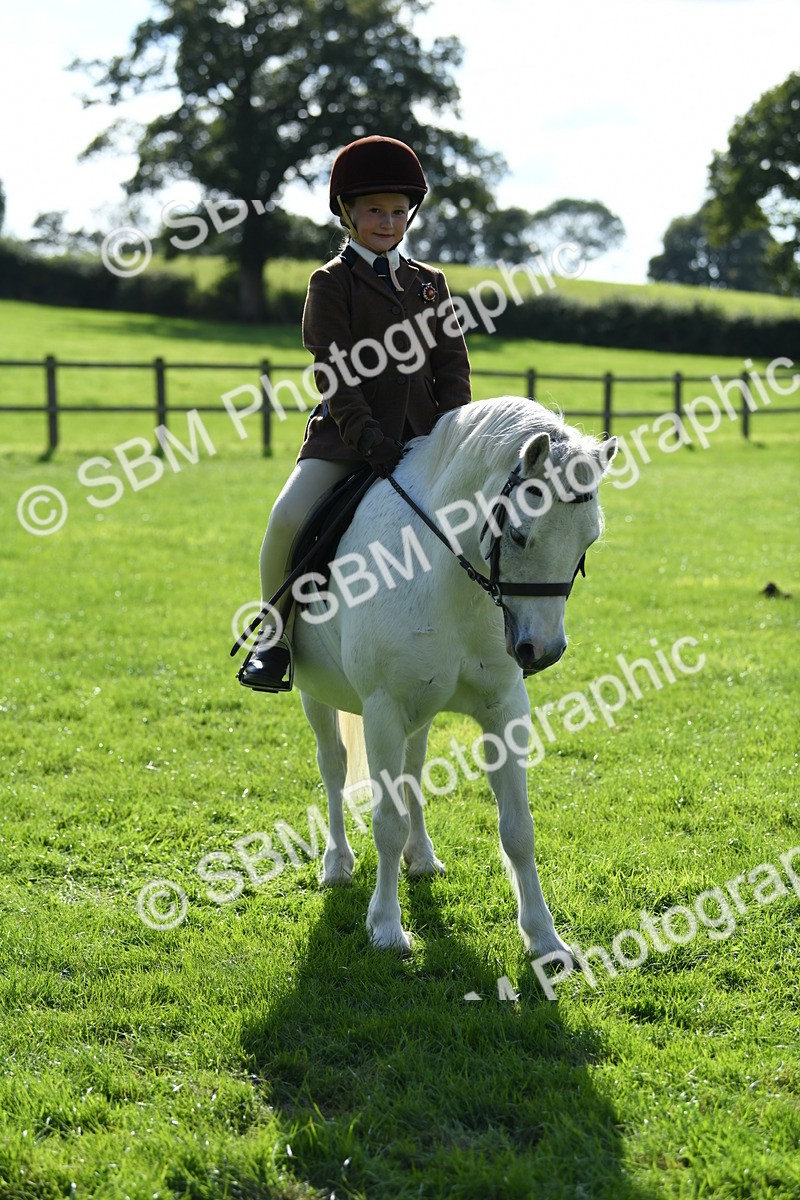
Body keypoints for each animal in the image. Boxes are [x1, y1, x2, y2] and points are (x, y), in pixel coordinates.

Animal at [288, 396, 617, 959]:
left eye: (588, 541)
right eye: (518, 534)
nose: (543, 651)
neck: (445, 573)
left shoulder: (503, 708)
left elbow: (517, 827)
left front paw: (545, 938)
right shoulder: (382, 710)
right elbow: (386, 821)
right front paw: (386, 928)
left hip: (420, 711)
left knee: (412, 772)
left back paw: (421, 858)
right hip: (318, 697)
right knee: (333, 768)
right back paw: (337, 864)